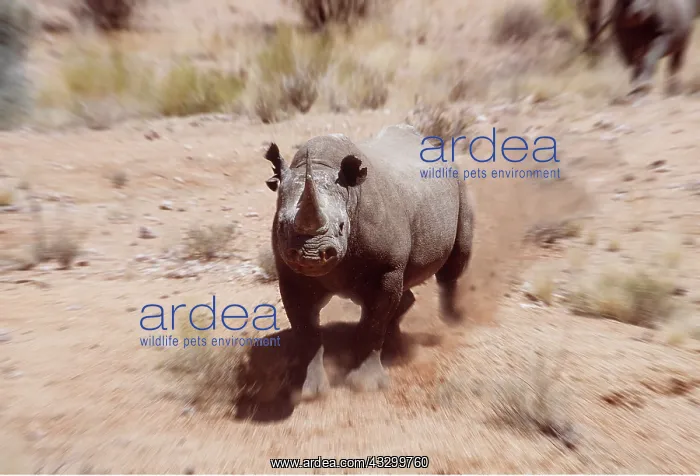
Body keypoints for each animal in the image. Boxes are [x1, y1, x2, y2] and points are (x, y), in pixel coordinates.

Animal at [262, 124, 474, 398]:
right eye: (280, 226)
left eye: (342, 226)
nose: (311, 256)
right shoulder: (290, 274)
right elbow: (305, 329)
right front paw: (307, 391)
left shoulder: (386, 268)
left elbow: (374, 323)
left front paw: (365, 384)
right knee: (405, 286)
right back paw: (396, 342)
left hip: (460, 185)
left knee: (454, 265)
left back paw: (451, 324)